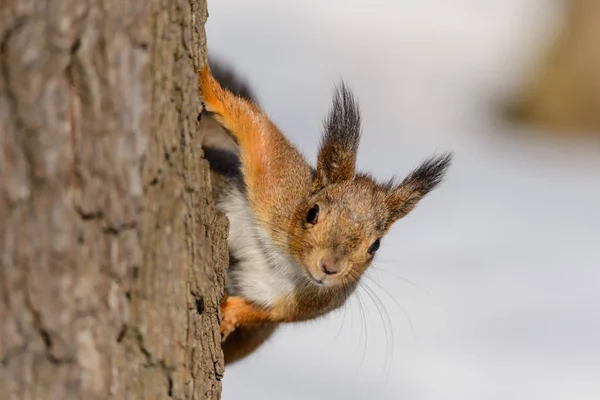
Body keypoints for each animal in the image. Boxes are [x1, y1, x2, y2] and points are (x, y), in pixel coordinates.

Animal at [199, 60, 452, 366]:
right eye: (312, 213)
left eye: (375, 246)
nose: (330, 267)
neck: (289, 263)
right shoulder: (279, 187)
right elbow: (259, 132)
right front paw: (206, 82)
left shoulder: (307, 303)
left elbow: (265, 313)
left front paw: (232, 314)